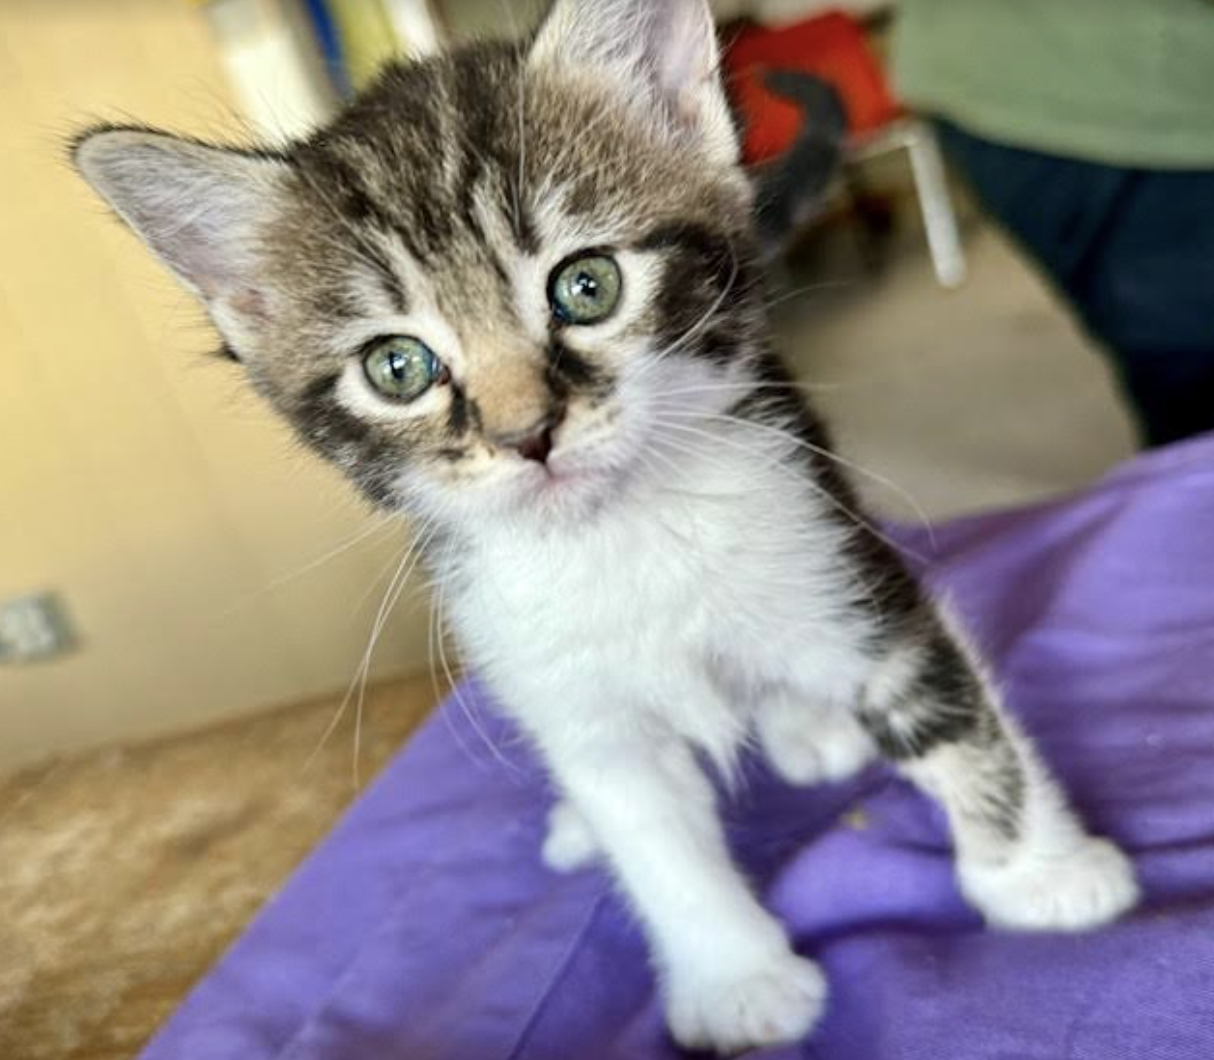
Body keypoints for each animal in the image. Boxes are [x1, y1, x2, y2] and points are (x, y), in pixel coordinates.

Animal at [73, 0, 1136, 1049]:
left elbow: (950, 715)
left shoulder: (835, 551)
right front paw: (735, 981)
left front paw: (1041, 874)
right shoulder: (562, 688)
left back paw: (811, 725)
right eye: (398, 368)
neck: (622, 534)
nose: (525, 434)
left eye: (586, 286)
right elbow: (653, 836)